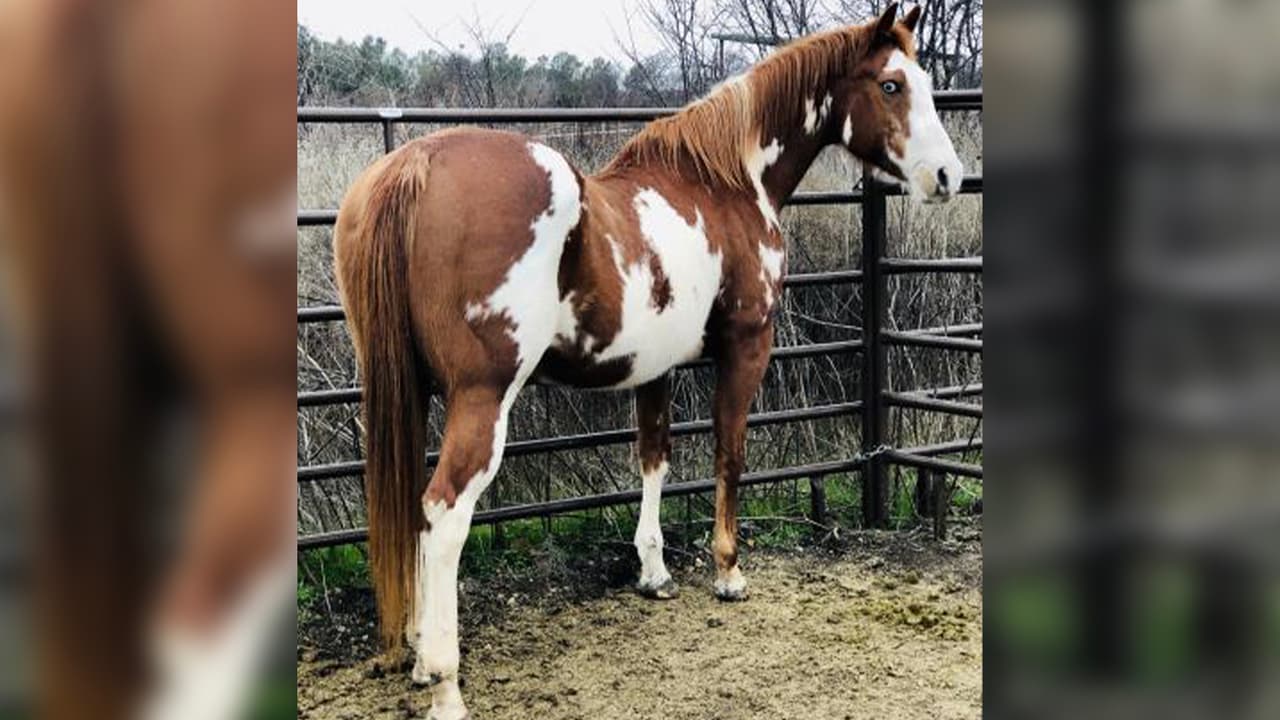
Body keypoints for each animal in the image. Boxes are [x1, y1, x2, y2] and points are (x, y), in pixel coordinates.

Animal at [334, 4, 962, 718]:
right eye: (891, 84)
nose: (948, 177)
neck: (724, 183)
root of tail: (415, 164)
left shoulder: (655, 366)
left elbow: (654, 457)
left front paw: (655, 572)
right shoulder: (748, 345)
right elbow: (728, 451)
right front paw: (728, 572)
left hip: (406, 393)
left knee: (411, 506)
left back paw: (415, 651)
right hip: (482, 398)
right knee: (444, 512)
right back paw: (443, 682)